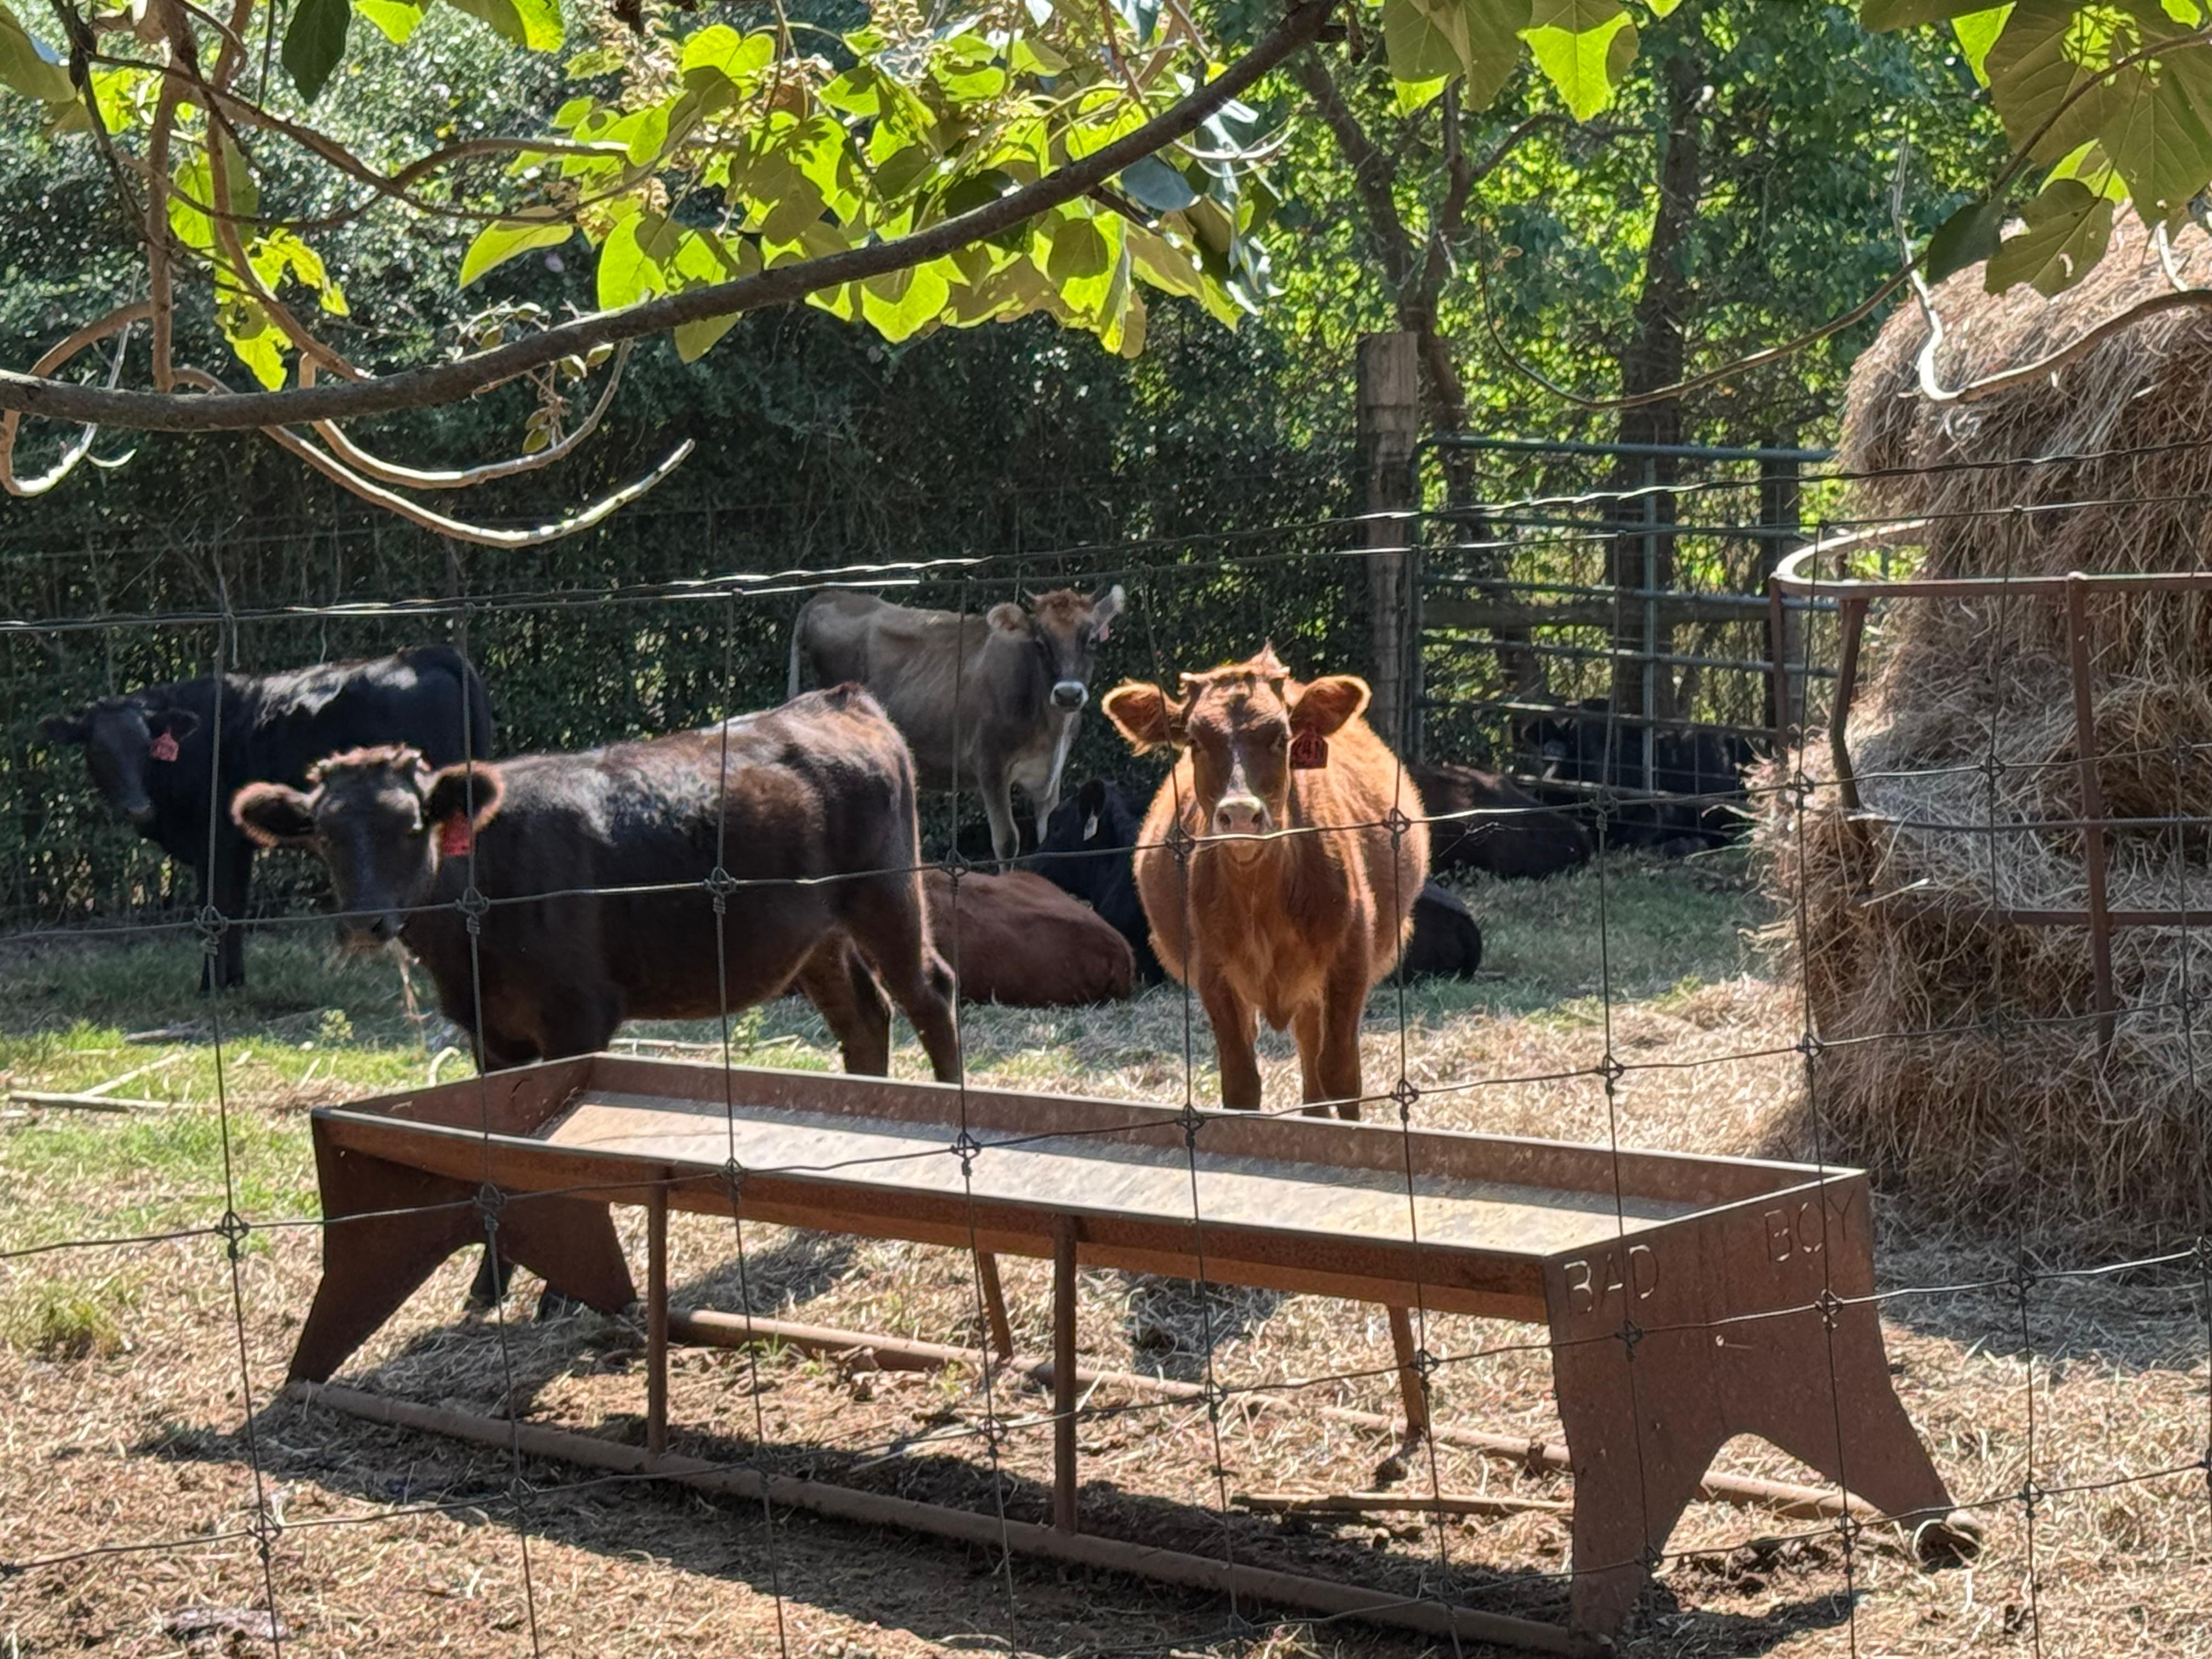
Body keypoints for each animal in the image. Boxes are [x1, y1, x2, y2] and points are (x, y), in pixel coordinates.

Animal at [38, 647, 493, 993]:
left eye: (146, 745)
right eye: (98, 750)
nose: (137, 807)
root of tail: (419, 654)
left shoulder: (215, 841)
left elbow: (217, 908)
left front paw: (211, 985)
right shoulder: (236, 845)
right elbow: (234, 909)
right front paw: (233, 981)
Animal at [231, 688, 962, 1308]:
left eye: (412, 826)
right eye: (324, 833)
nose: (365, 922)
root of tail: (836, 699)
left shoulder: (577, 1018)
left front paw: (558, 1295)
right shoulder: (486, 1034)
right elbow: (494, 1156)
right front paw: (489, 1286)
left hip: (886, 892)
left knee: (930, 994)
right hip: (815, 938)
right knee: (863, 1020)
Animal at [788, 585, 1124, 867]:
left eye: (1092, 640)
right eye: (1040, 643)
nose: (1068, 694)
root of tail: (830, 595)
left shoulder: (1051, 774)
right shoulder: (989, 763)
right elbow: (1007, 841)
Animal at [1101, 647, 1428, 1116]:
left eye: (1281, 738)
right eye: (1195, 741)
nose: (1240, 814)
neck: (1261, 897)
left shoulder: (1351, 961)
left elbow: (1342, 1074)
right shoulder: (1213, 973)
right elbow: (1241, 1083)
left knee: (1314, 1050)